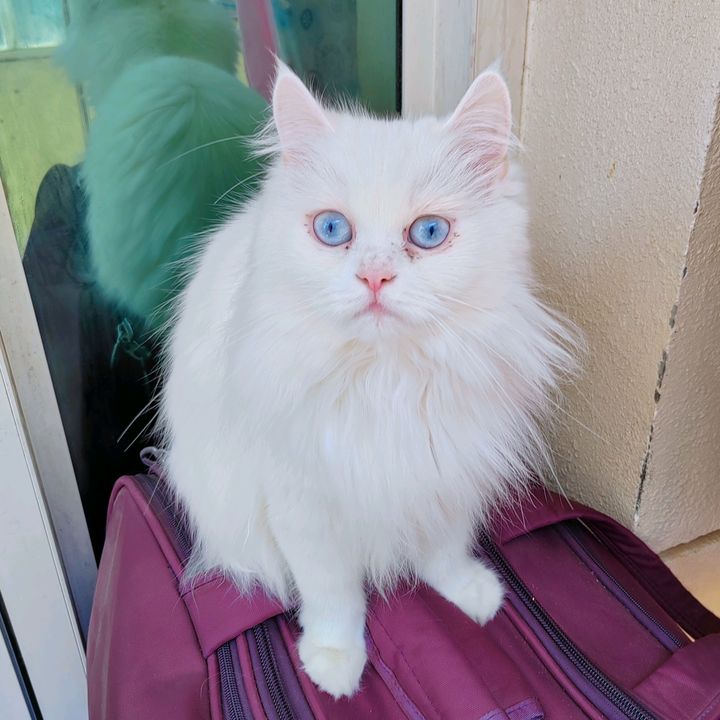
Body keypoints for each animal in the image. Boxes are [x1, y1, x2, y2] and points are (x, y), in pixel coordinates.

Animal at [160, 62, 575, 698]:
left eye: (428, 233)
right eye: (333, 229)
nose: (375, 277)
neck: (387, 379)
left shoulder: (445, 471)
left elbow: (444, 549)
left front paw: (470, 593)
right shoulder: (303, 506)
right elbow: (333, 596)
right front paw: (335, 663)